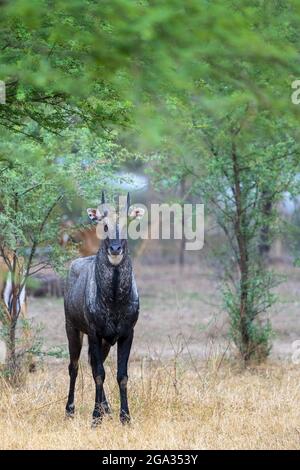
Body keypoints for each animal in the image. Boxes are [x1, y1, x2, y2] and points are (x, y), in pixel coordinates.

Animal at [63, 192, 145, 426]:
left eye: (127, 224)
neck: (114, 300)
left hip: (106, 342)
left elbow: (121, 375)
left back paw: (106, 407)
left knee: (91, 364)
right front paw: (95, 418)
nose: (115, 249)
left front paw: (125, 417)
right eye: (104, 225)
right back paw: (70, 410)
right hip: (73, 329)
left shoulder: (126, 334)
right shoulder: (94, 332)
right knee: (74, 367)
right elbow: (99, 373)